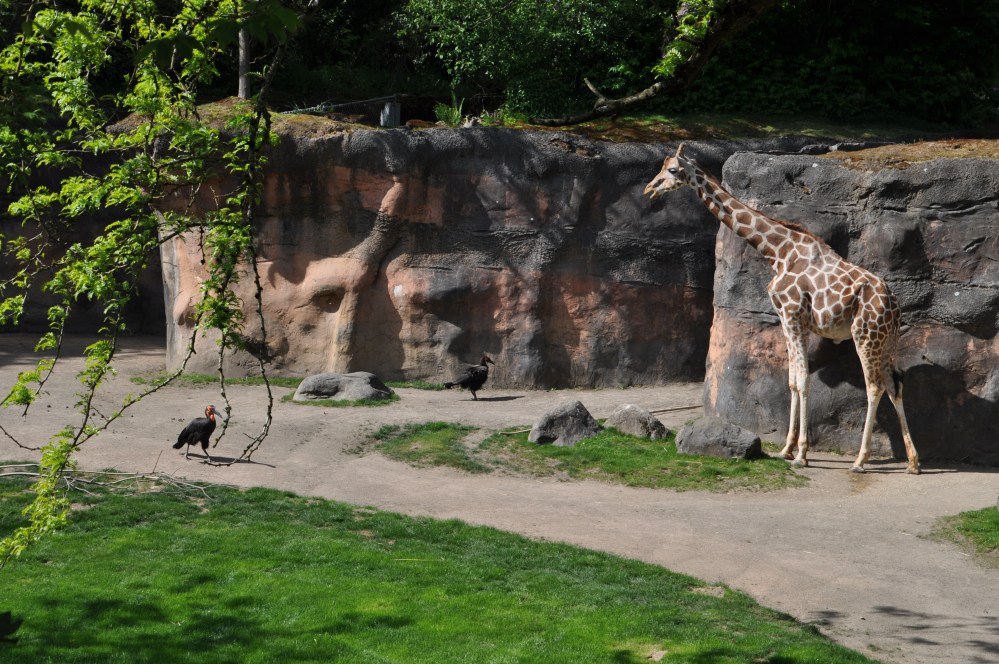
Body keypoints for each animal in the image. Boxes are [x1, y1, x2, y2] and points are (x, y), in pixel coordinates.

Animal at [645, 144, 919, 474]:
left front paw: (801, 454)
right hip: (885, 340)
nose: (650, 189)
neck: (778, 252)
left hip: (864, 335)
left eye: (672, 170)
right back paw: (913, 462)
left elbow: (802, 380)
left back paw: (860, 460)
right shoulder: (787, 320)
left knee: (875, 387)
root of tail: (894, 306)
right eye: (662, 168)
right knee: (895, 384)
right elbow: (791, 381)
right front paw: (786, 450)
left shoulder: (791, 315)